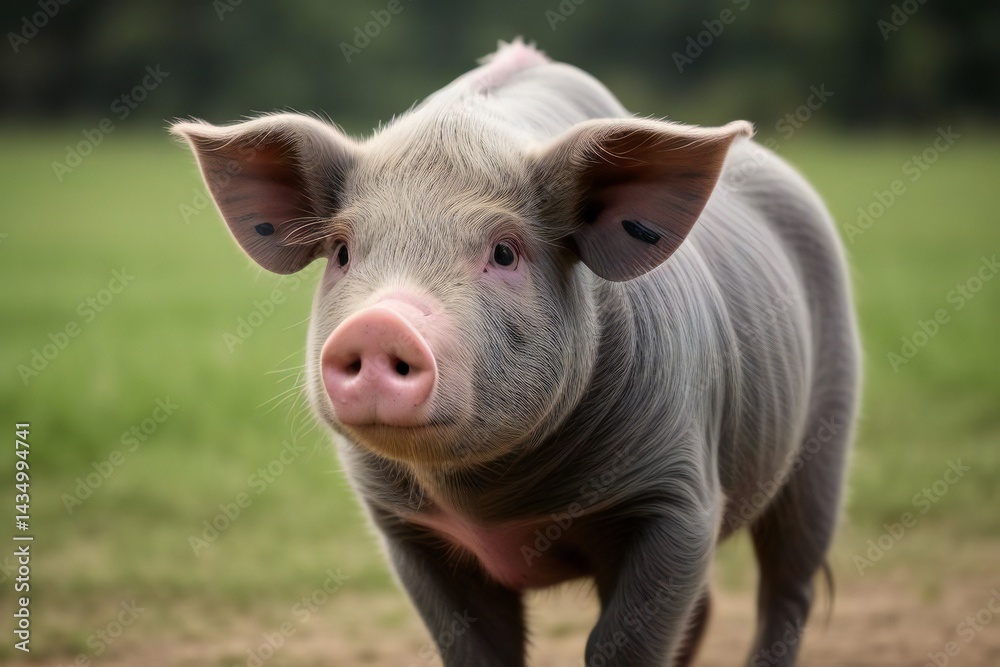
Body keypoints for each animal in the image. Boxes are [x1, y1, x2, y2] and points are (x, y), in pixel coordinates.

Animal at [172, 40, 860, 666]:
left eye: (505, 252)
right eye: (342, 251)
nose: (378, 322)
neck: (490, 505)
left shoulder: (679, 498)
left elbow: (620, 645)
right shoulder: (404, 529)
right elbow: (476, 649)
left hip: (825, 442)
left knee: (788, 589)